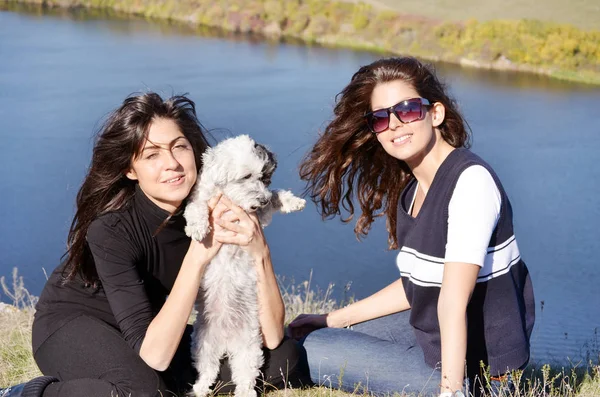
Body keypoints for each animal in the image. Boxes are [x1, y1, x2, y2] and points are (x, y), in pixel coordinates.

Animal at [183, 135, 304, 396]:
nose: (262, 199)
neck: (230, 199)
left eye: (264, 177)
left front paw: (291, 201)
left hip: (249, 350)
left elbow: (276, 195)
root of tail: (226, 343)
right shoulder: (201, 200)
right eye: (246, 176)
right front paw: (199, 226)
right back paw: (199, 389)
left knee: (245, 378)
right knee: (207, 372)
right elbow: (196, 207)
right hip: (202, 346)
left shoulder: (257, 216)